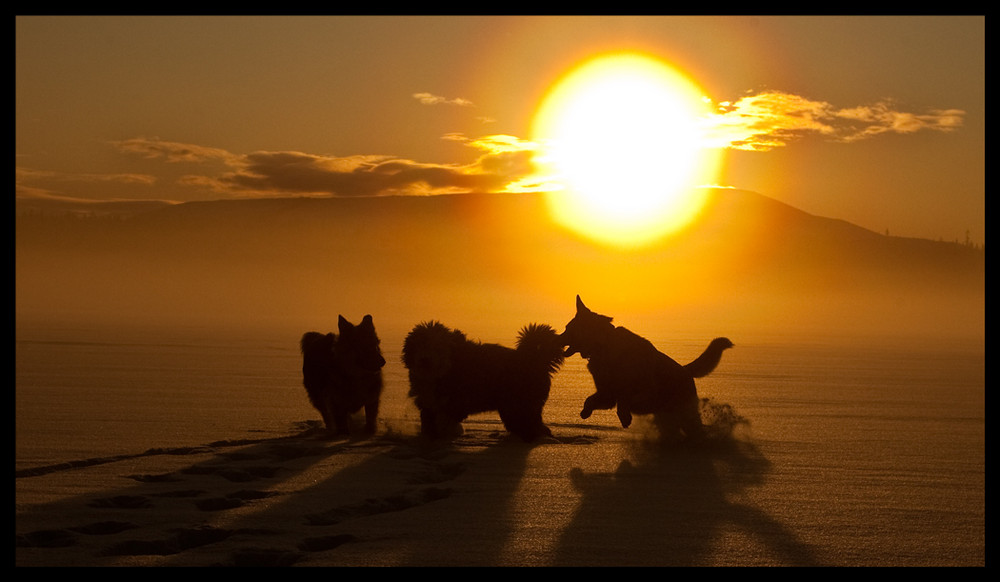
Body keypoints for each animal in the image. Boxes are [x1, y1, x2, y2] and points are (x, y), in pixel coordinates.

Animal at [402, 324, 568, 442]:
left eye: (438, 347)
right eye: (419, 345)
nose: (425, 360)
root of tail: (534, 358)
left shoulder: (456, 402)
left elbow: (445, 420)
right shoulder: (428, 403)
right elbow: (429, 420)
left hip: (518, 405)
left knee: (528, 424)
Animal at [560, 298, 732, 440]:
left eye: (568, 328)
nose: (557, 338)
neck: (604, 345)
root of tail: (686, 370)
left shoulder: (644, 390)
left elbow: (625, 399)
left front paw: (625, 416)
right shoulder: (607, 394)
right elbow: (590, 400)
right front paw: (585, 412)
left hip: (685, 415)